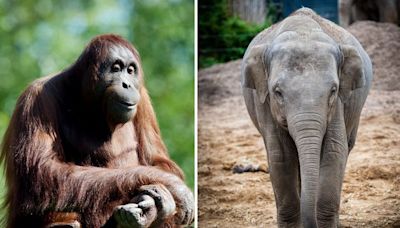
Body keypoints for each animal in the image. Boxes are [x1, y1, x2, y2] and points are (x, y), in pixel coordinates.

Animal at [242, 8, 374, 227]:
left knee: (346, 146)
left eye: (333, 90)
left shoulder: (337, 105)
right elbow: (281, 157)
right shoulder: (265, 103)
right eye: (278, 92)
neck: (302, 31)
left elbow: (334, 151)